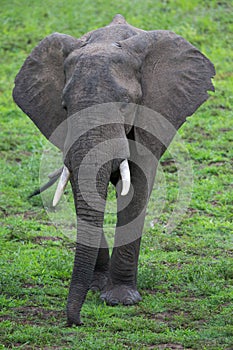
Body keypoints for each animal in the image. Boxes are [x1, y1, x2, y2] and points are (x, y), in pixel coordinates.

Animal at [12, 13, 215, 326]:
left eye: (125, 104)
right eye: (65, 107)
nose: (76, 321)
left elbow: (137, 186)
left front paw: (120, 300)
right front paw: (97, 288)